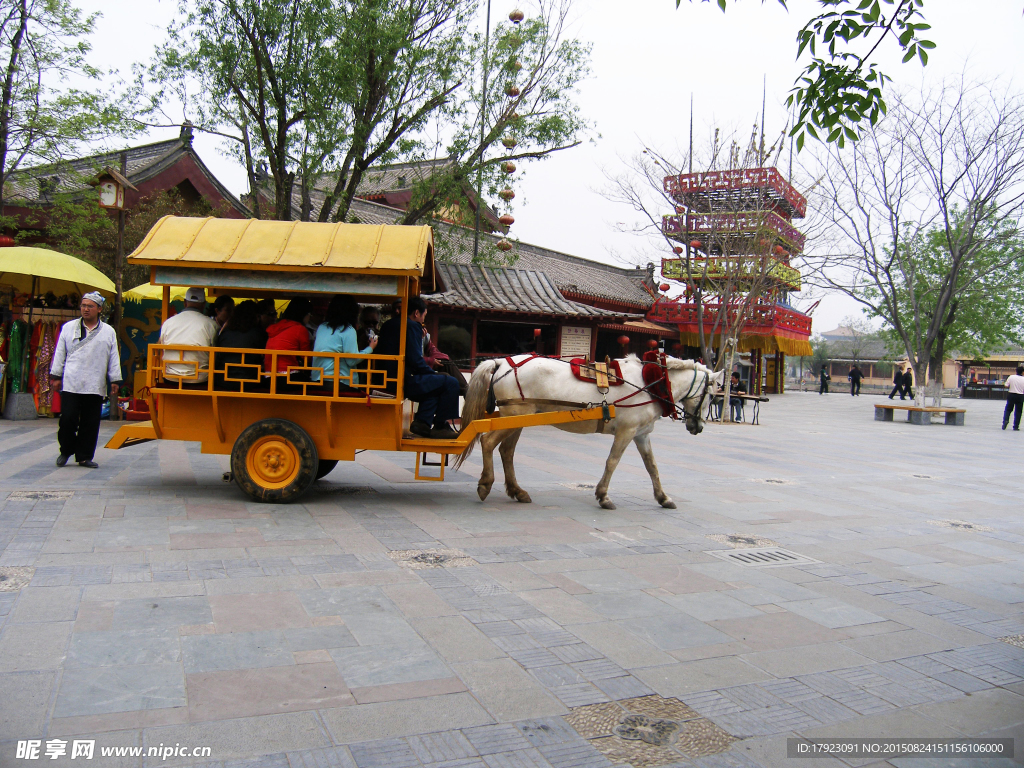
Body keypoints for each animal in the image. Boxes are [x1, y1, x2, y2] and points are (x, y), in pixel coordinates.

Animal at [456, 354, 720, 512]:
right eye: (712, 395)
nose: (698, 427)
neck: (651, 384)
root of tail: (502, 362)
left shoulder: (641, 434)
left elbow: (652, 467)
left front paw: (663, 497)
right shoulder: (626, 431)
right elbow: (612, 462)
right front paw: (603, 496)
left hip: (518, 417)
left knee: (506, 451)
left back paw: (517, 491)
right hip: (513, 415)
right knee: (488, 442)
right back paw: (485, 484)